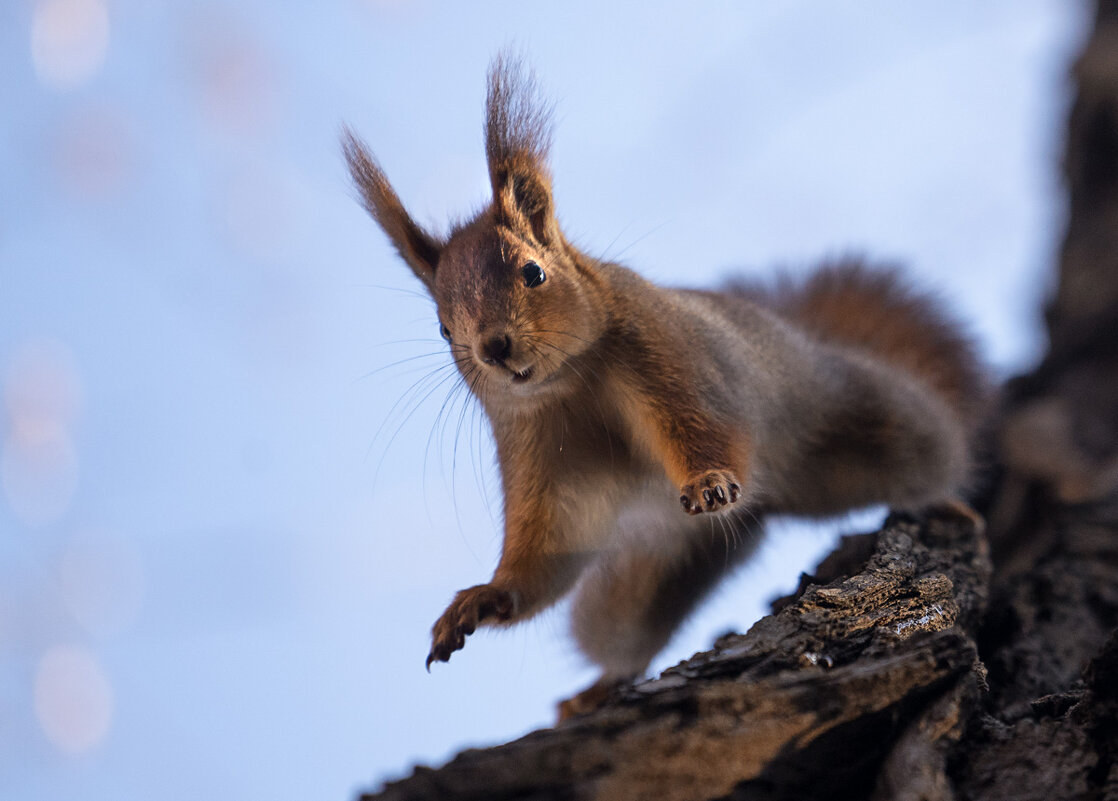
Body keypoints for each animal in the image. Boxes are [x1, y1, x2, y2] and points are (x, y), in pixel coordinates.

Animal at [339, 54, 988, 720]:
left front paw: (708, 480)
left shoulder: (671, 363)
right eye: (443, 328)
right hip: (646, 577)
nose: (493, 348)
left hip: (865, 419)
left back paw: (947, 500)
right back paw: (599, 687)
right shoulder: (536, 448)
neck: (573, 386)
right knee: (622, 631)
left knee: (926, 449)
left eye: (534, 273)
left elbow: (706, 429)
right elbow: (551, 547)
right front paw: (483, 599)